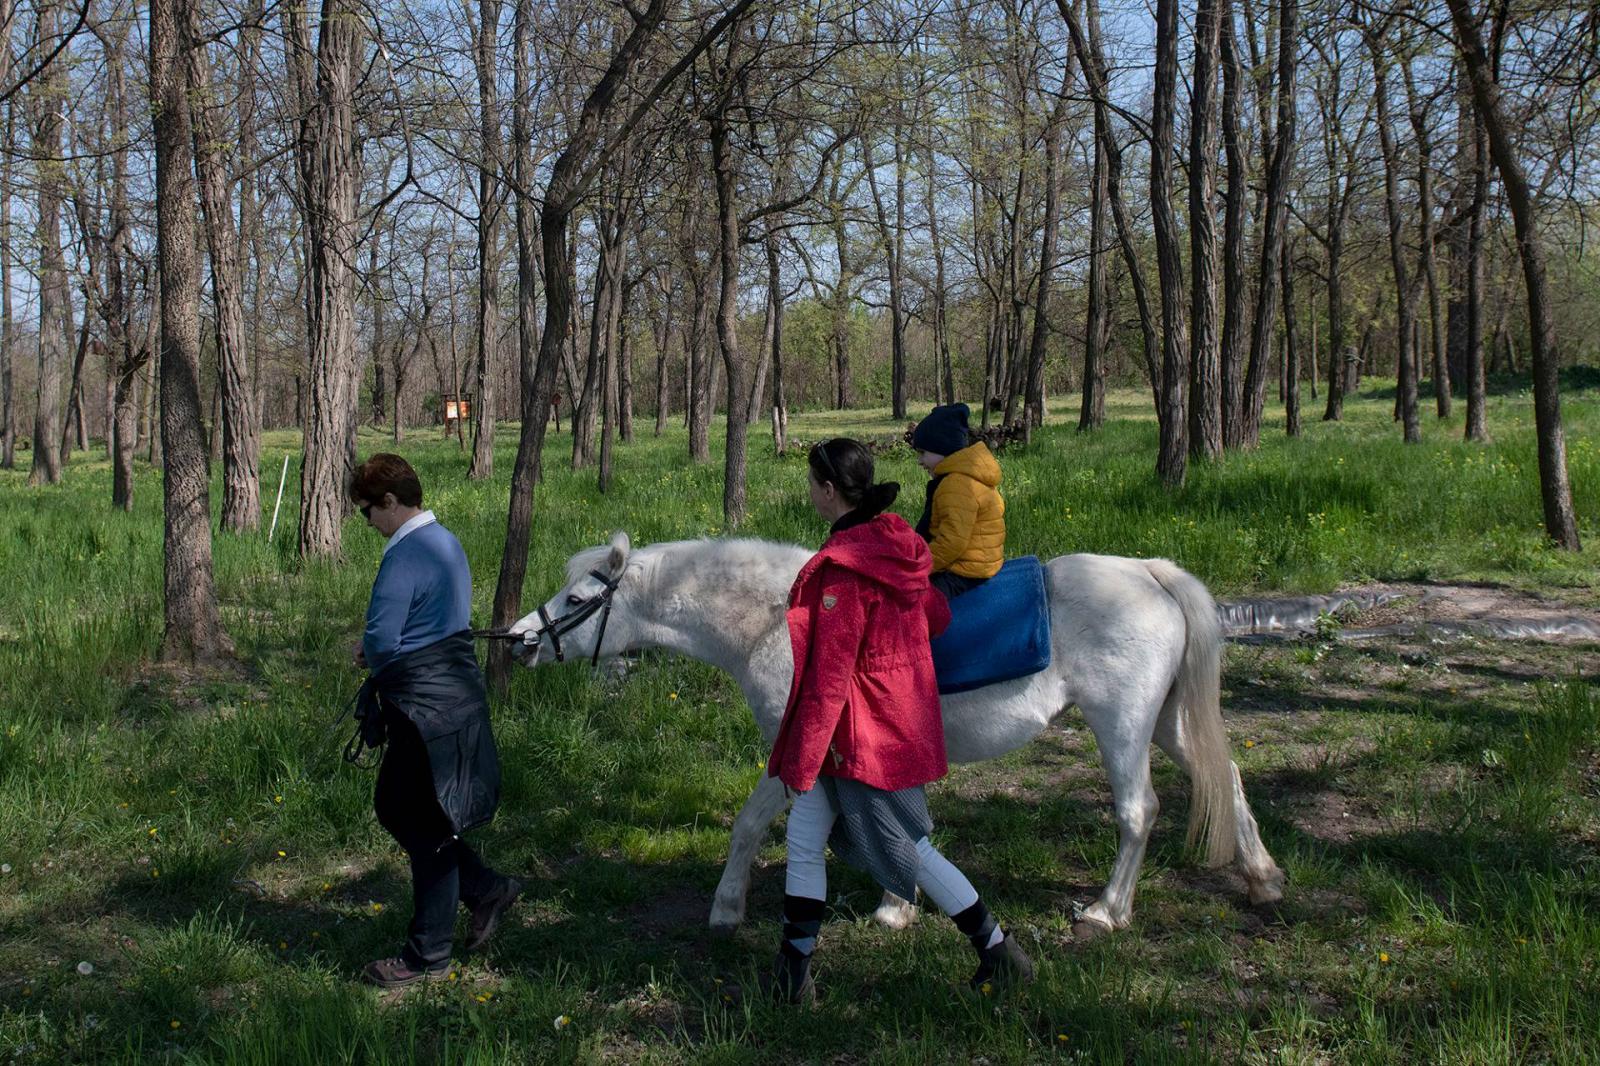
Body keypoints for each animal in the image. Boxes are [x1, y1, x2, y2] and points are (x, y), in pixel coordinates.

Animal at [512, 534, 1286, 934]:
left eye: (578, 598)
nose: (520, 640)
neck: (779, 621)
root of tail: (1151, 575)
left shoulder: (799, 749)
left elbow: (752, 823)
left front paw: (727, 908)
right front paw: (898, 902)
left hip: (1121, 726)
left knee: (1137, 811)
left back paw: (1106, 910)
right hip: (1167, 722)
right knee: (1225, 778)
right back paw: (1261, 877)